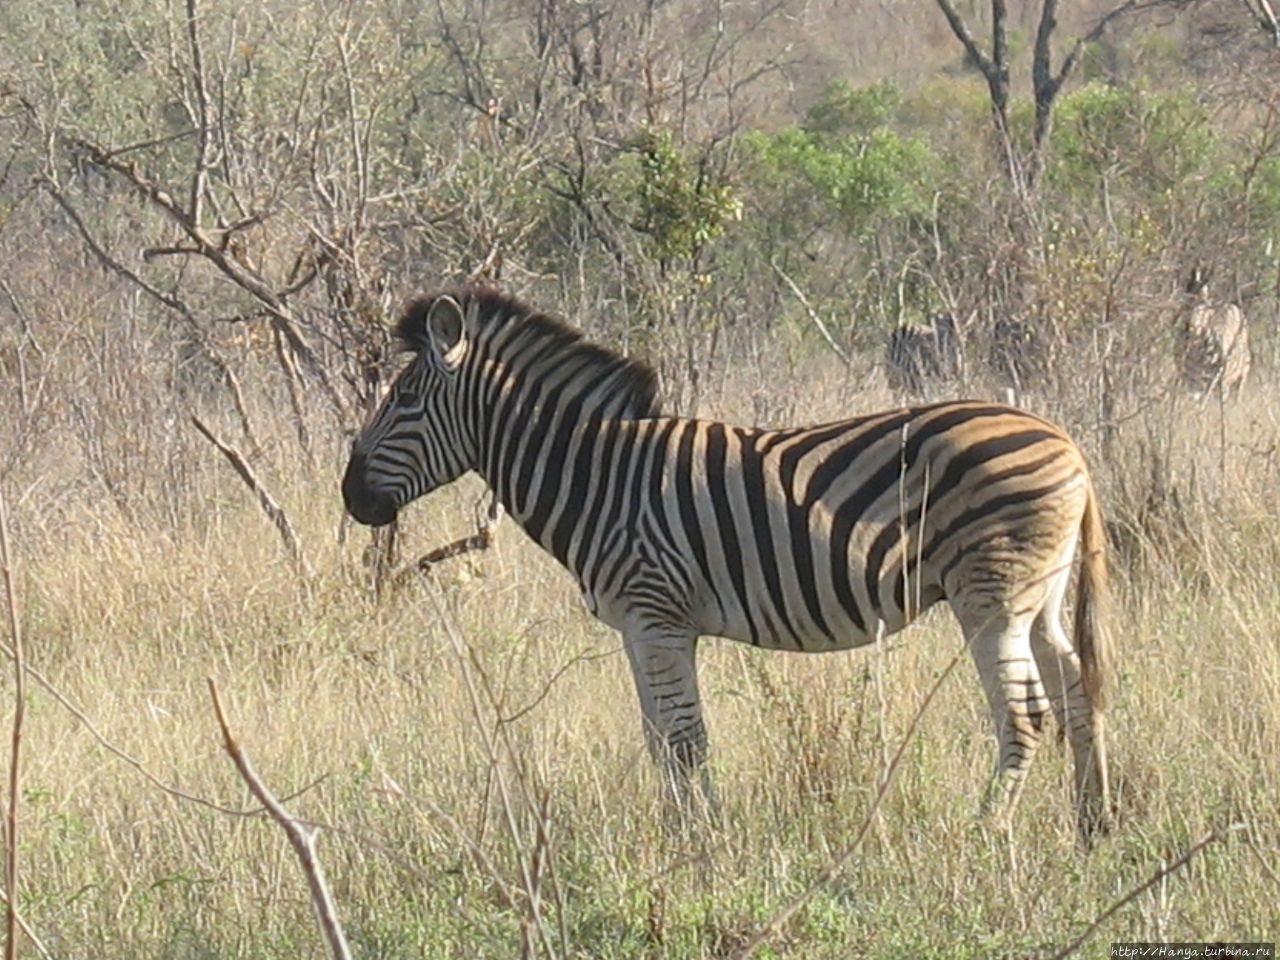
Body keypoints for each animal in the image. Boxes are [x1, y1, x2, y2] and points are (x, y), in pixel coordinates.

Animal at [345, 291, 1116, 839]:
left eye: (404, 400)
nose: (351, 497)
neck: (599, 475)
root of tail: (1069, 442)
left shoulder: (657, 616)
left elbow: (685, 740)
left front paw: (702, 844)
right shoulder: (641, 627)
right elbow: (659, 738)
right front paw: (676, 835)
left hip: (990, 594)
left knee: (1025, 713)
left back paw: (988, 829)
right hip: (1040, 596)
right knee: (1078, 689)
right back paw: (1093, 824)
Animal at [1177, 271, 1249, 401]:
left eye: (1204, 306)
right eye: (1186, 300)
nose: (1189, 327)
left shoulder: (1217, 377)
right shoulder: (1194, 375)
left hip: (1241, 372)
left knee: (1237, 395)